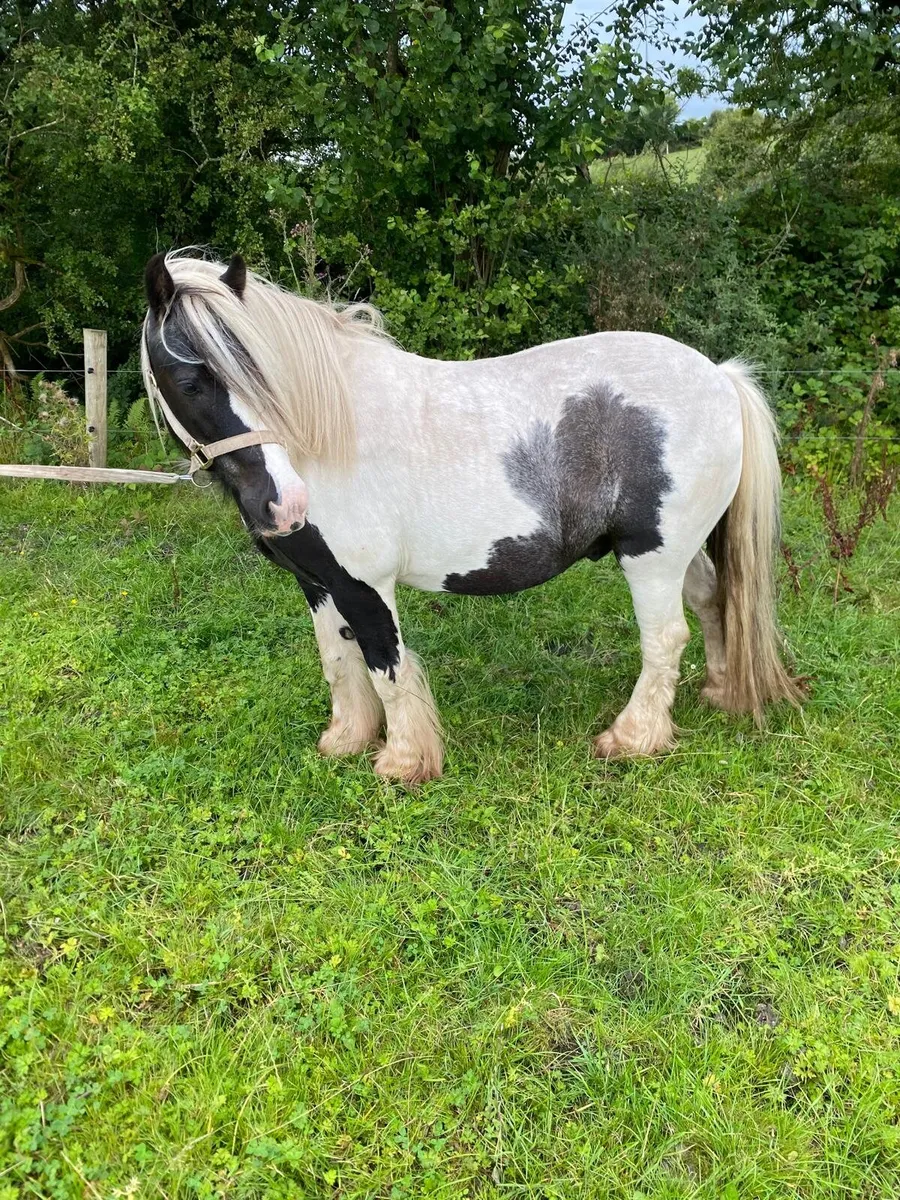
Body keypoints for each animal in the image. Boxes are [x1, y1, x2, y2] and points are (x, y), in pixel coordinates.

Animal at [141, 249, 803, 784]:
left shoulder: (364, 585)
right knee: (714, 603)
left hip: (651, 558)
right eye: (189, 382)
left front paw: (403, 762)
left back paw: (633, 737)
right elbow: (339, 661)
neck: (326, 438)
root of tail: (720, 377)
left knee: (665, 638)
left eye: (261, 373)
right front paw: (346, 741)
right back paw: (719, 690)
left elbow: (386, 666)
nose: (284, 505)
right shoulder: (318, 582)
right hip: (681, 551)